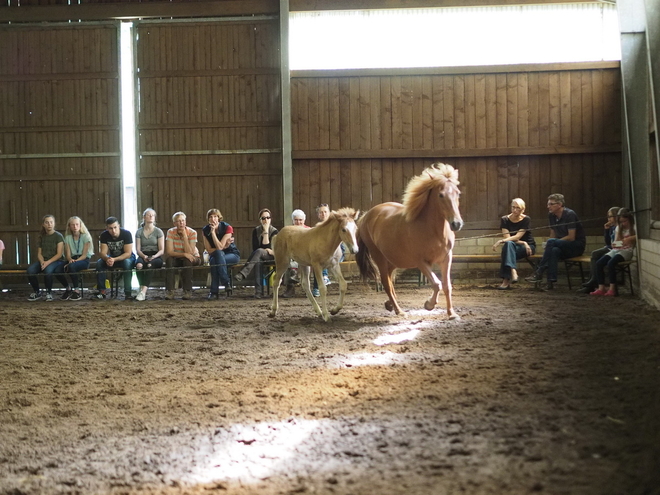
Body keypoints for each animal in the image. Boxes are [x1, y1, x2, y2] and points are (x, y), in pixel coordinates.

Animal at [356, 163, 464, 318]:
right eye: (441, 195)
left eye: (458, 193)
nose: (456, 224)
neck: (434, 231)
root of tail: (366, 216)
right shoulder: (421, 262)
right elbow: (437, 284)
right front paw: (429, 305)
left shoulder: (446, 258)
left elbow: (447, 285)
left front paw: (452, 314)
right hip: (379, 257)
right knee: (386, 283)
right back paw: (399, 311)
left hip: (394, 259)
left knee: (389, 279)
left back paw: (390, 305)